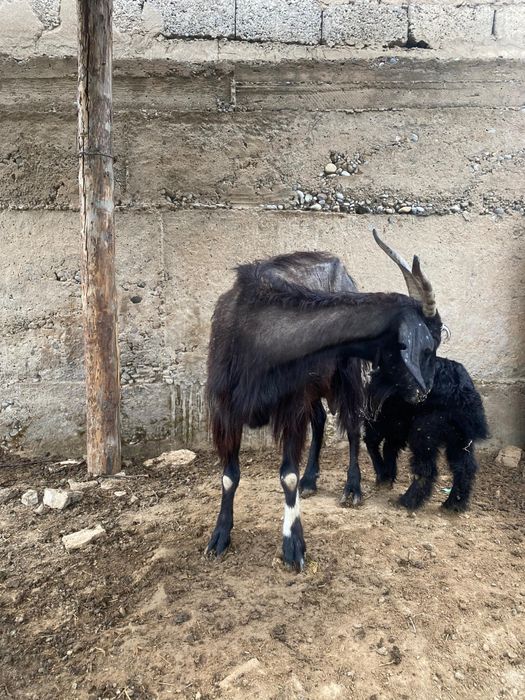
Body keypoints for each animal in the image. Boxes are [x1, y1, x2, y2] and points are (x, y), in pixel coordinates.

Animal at [206, 230, 442, 570]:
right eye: (428, 346)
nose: (425, 391)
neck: (258, 331)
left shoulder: (290, 407)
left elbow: (287, 476)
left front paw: (293, 545)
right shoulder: (225, 411)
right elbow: (228, 477)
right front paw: (220, 535)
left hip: (346, 374)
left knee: (354, 427)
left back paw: (352, 489)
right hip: (315, 386)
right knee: (319, 421)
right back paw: (311, 479)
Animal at [364, 356, 489, 511]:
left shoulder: (384, 418)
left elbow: (375, 443)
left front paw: (384, 477)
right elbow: (388, 446)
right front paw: (387, 476)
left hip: (425, 429)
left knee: (426, 468)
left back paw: (407, 500)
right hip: (460, 436)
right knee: (464, 467)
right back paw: (454, 504)